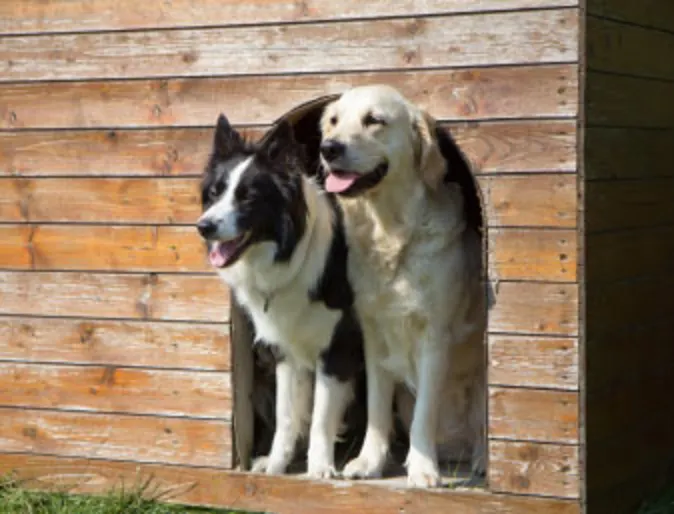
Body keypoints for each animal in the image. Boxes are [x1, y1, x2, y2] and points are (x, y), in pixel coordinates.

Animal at [196, 116, 362, 476]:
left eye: (248, 197)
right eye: (215, 193)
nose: (203, 227)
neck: (290, 254)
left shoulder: (338, 349)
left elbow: (321, 417)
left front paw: (320, 469)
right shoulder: (286, 351)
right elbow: (286, 416)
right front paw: (276, 465)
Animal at [318, 84, 484, 484]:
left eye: (374, 120)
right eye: (333, 121)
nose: (329, 148)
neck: (390, 234)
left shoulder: (435, 335)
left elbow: (426, 411)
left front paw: (422, 468)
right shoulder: (374, 333)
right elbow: (377, 407)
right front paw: (369, 461)